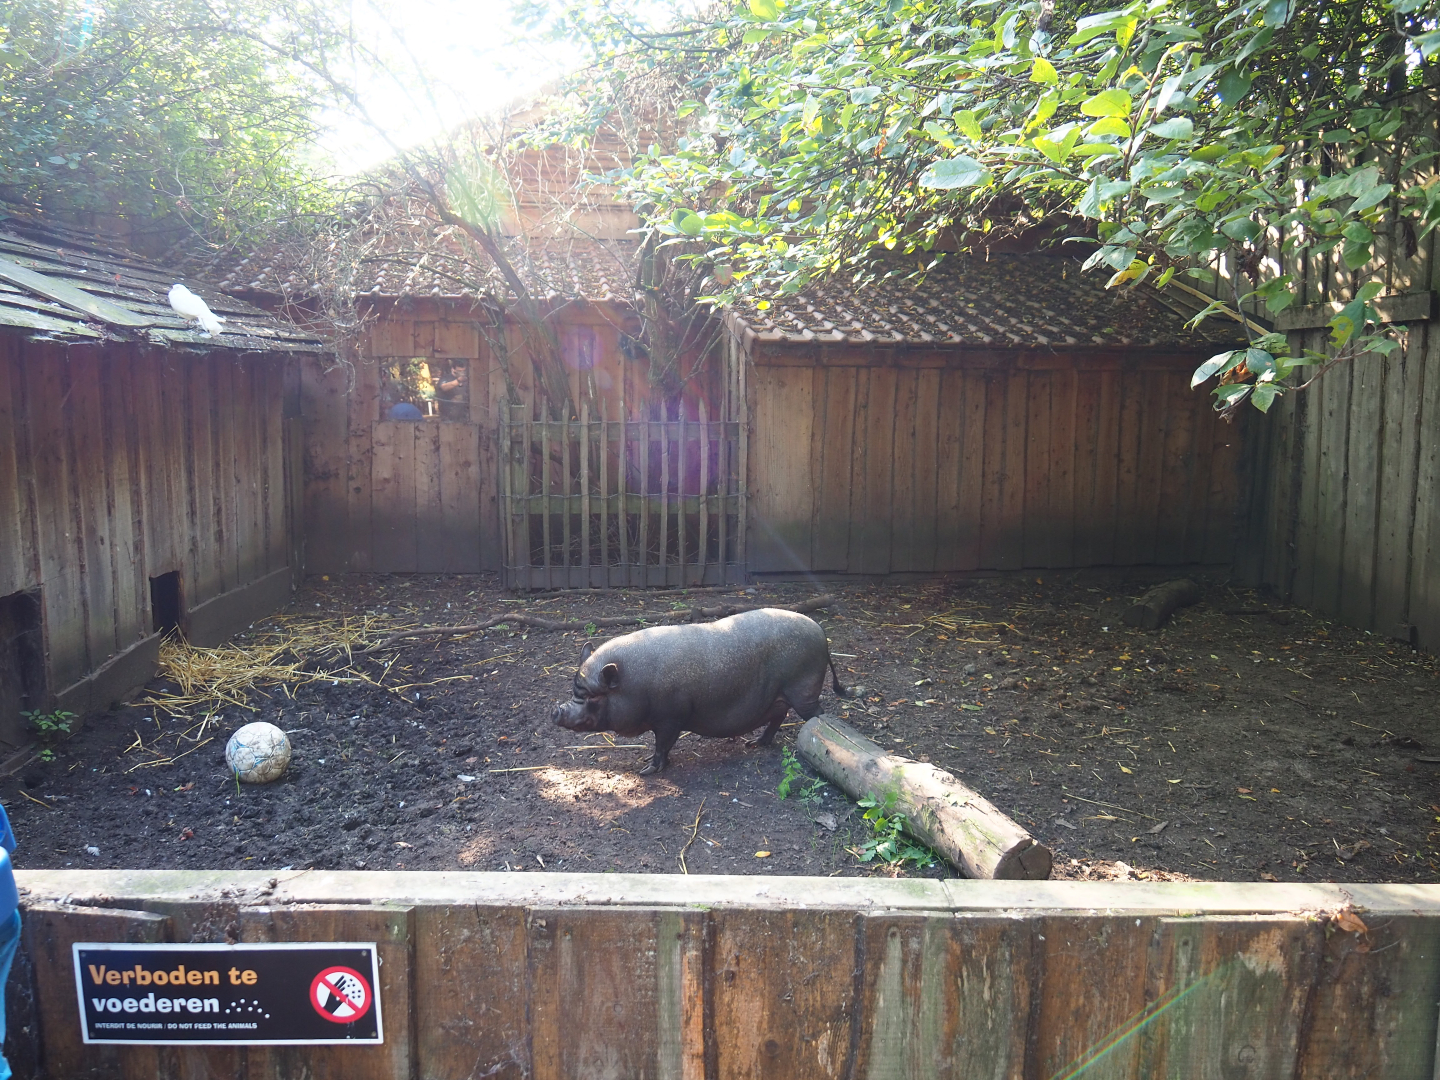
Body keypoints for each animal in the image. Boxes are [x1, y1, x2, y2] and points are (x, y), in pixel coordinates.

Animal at [551, 607, 851, 775]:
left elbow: (663, 745)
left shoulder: (671, 717)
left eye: (593, 696)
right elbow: (661, 747)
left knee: (817, 716)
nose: (556, 709)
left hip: (804, 691)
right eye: (575, 690)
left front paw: (646, 771)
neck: (634, 684)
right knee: (778, 717)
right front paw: (647, 762)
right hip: (780, 696)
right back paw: (753, 744)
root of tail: (821, 633)